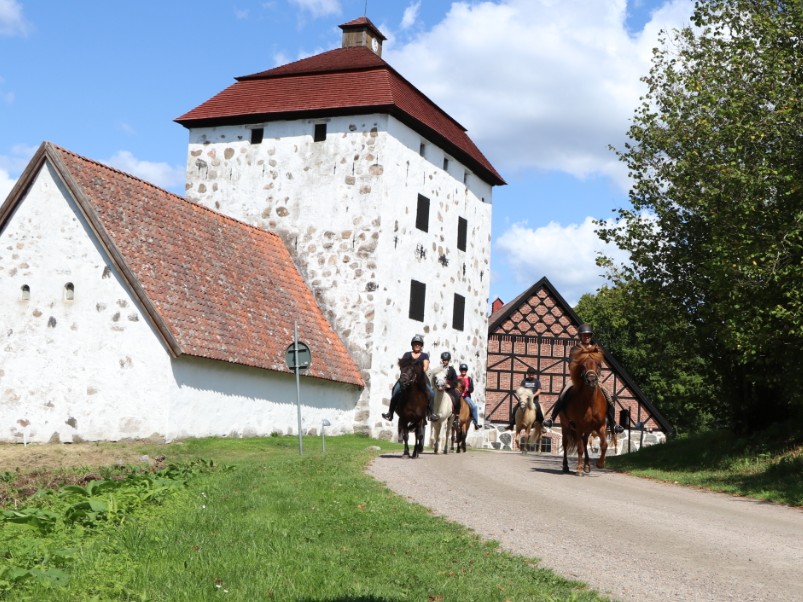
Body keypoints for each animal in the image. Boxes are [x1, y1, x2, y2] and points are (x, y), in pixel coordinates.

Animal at [560, 344, 616, 472]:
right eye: (583, 365)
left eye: (598, 364)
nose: (591, 380)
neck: (590, 402)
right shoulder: (579, 426)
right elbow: (580, 448)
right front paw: (579, 469)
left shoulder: (600, 425)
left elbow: (604, 444)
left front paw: (600, 464)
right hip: (565, 426)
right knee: (566, 443)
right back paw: (566, 466)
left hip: (588, 429)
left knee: (585, 442)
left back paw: (587, 465)